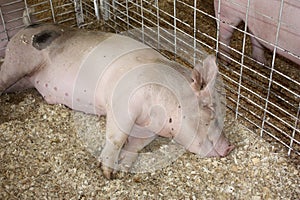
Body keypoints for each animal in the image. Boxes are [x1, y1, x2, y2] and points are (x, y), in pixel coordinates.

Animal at [0, 23, 234, 178]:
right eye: (210, 110)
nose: (230, 147)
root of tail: (25, 27)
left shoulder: (148, 128)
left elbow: (136, 146)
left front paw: (125, 168)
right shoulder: (121, 104)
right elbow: (117, 138)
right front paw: (108, 173)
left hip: (25, 79)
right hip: (17, 62)